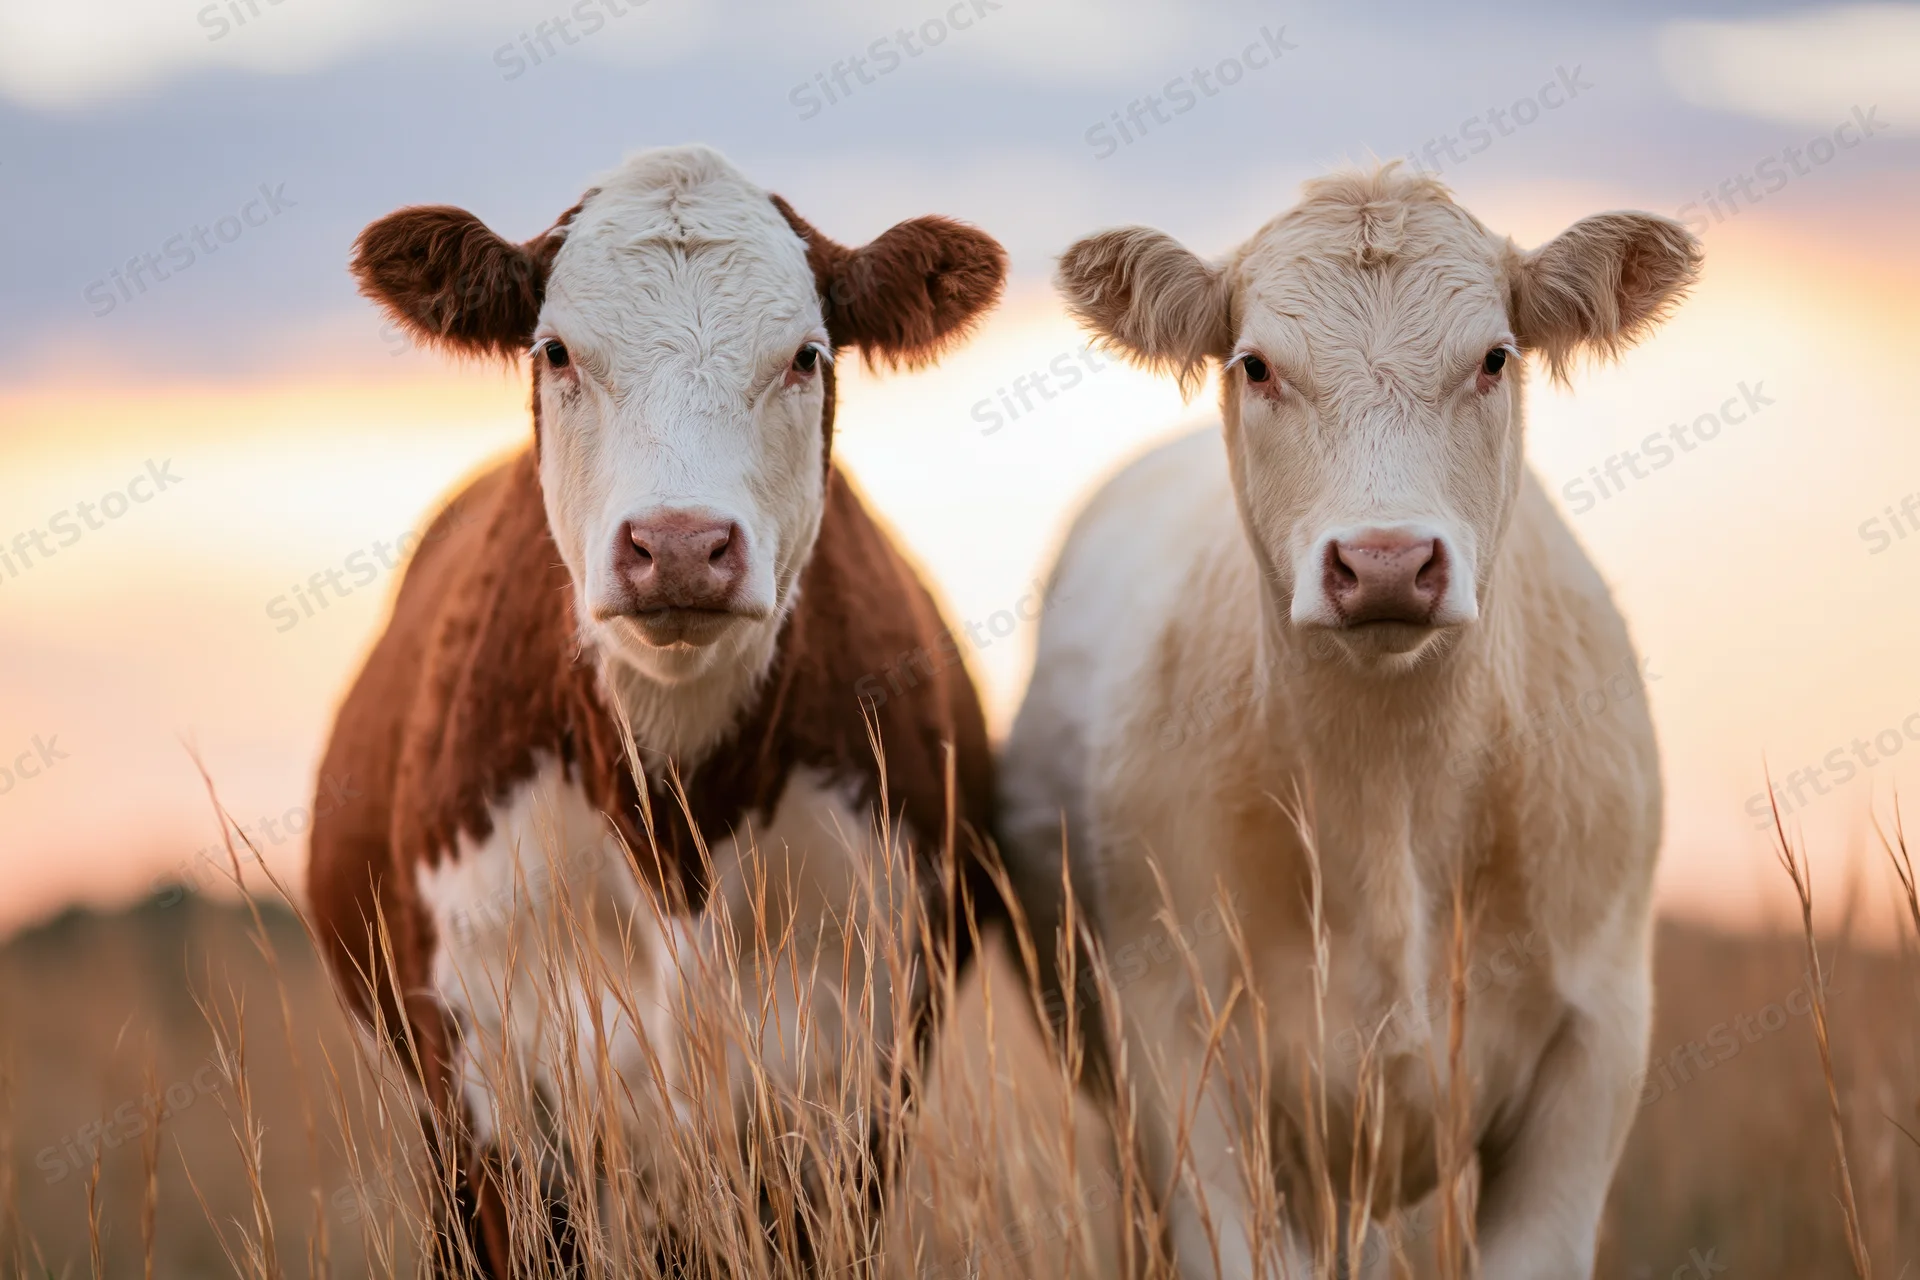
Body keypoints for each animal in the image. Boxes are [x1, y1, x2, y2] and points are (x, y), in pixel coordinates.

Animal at [307, 144, 1008, 1275]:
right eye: (555, 350)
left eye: (806, 355)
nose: (679, 544)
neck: (675, 823)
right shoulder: (495, 1086)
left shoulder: (853, 1079)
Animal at [1000, 165, 1700, 1278]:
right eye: (1256, 365)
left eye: (1495, 357)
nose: (1384, 562)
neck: (1392, 792)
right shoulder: (1178, 1049)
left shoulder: (1596, 1045)